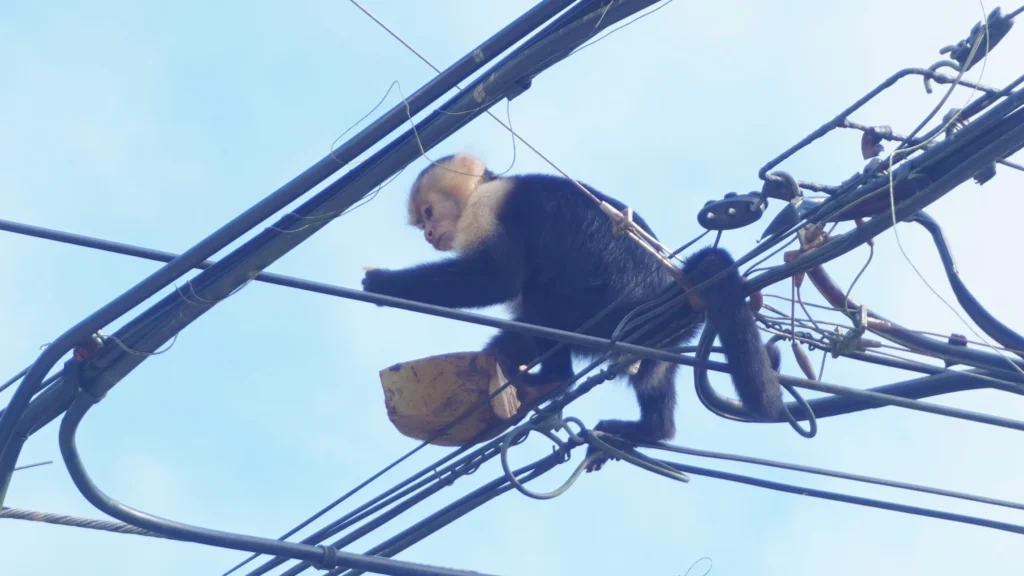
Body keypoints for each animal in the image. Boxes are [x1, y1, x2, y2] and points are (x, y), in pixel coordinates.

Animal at [362, 153, 782, 471]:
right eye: (423, 222)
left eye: (429, 213)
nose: (430, 235)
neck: (488, 186)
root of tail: (674, 290)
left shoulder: (486, 207)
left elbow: (496, 280)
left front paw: (385, 286)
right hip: (657, 327)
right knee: (652, 371)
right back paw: (651, 430)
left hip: (608, 307)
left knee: (540, 294)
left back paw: (553, 380)